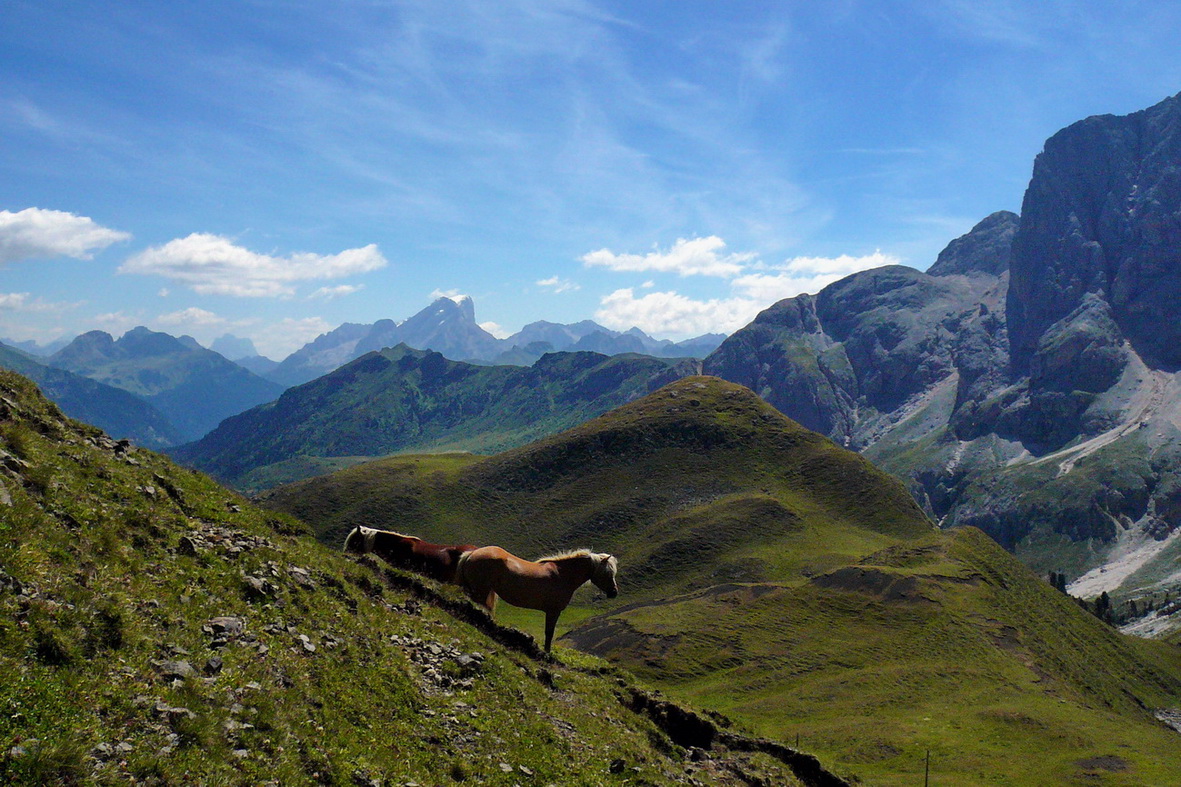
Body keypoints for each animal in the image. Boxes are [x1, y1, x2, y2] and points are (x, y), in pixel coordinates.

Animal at [451, 545, 618, 647]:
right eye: (607, 572)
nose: (614, 593)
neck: (562, 574)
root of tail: (471, 553)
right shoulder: (553, 611)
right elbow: (549, 634)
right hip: (480, 591)